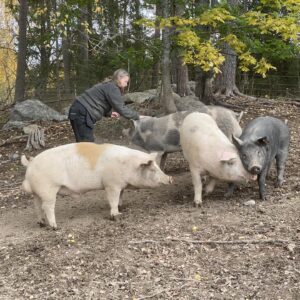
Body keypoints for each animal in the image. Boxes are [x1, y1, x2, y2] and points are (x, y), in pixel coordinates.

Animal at [21, 142, 172, 229]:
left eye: (158, 167)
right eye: (152, 170)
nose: (170, 179)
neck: (128, 166)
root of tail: (30, 164)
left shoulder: (120, 185)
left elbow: (120, 196)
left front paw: (121, 207)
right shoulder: (111, 184)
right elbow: (113, 199)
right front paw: (117, 215)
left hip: (37, 193)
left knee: (37, 207)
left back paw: (41, 224)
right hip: (48, 189)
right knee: (47, 207)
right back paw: (55, 227)